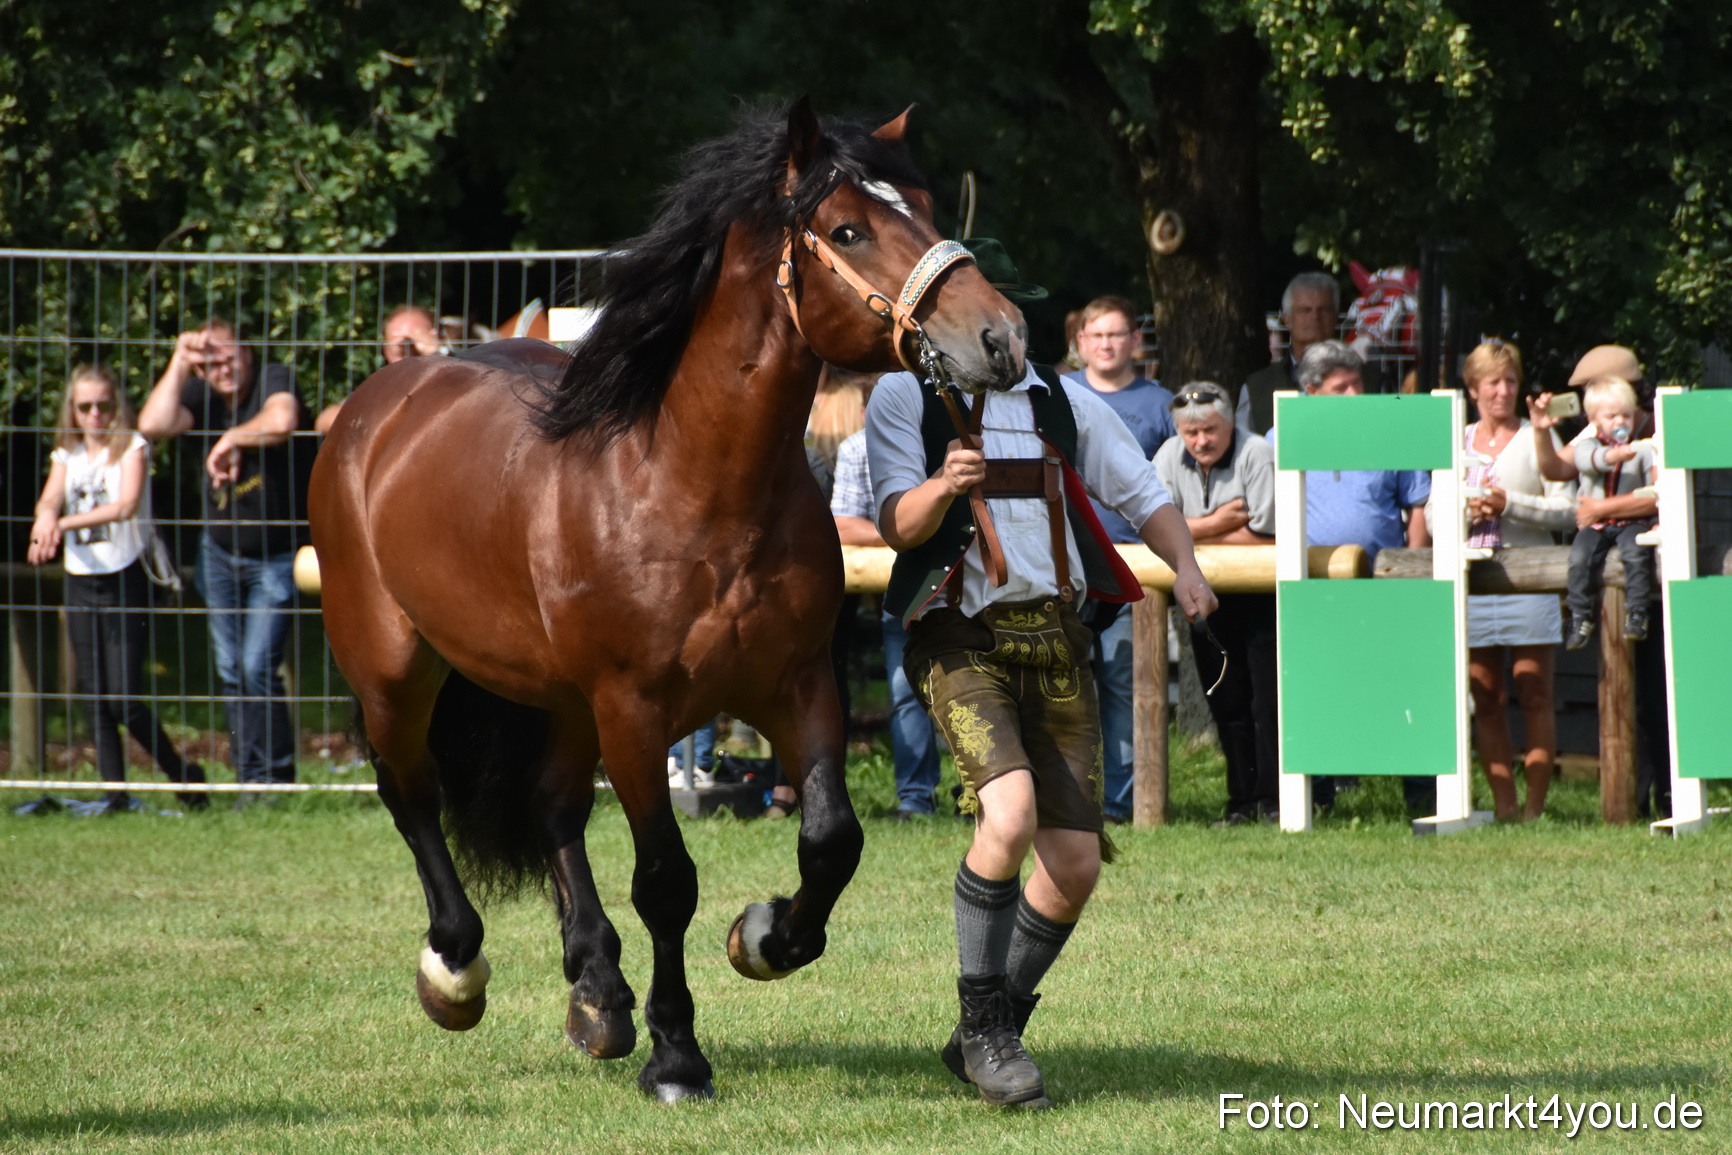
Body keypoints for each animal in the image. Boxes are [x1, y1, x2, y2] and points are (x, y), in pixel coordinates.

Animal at [308, 98, 1026, 1102]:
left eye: (922, 208)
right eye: (849, 229)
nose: (1002, 336)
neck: (688, 484)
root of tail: (380, 403)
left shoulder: (797, 686)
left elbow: (831, 839)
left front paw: (764, 936)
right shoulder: (635, 709)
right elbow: (665, 879)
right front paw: (678, 1054)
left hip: (563, 702)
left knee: (553, 808)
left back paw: (598, 993)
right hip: (395, 669)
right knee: (411, 796)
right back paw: (455, 969)